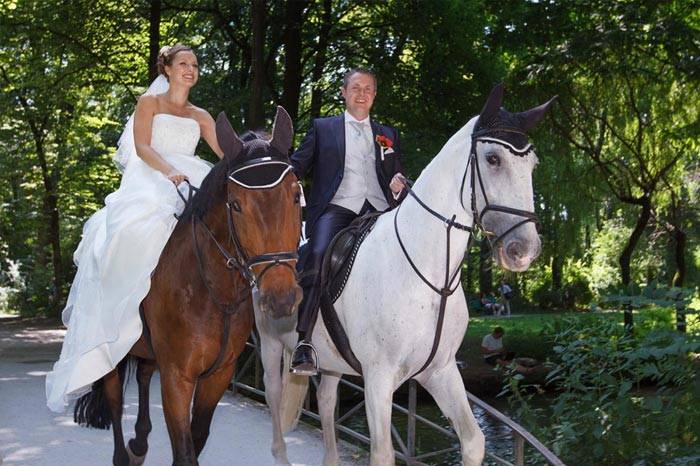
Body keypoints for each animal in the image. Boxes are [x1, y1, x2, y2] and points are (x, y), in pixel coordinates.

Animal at [74, 107, 304, 464]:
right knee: (113, 398)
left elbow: (197, 437)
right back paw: (124, 454)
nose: (281, 297)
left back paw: (140, 441)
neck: (212, 288)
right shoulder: (177, 377)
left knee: (143, 375)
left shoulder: (218, 375)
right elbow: (184, 450)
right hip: (107, 349)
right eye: (236, 204)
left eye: (295, 195)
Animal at [254, 84, 556, 466]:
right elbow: (383, 452)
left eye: (532, 164)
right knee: (273, 395)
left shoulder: (441, 370)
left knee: (325, 400)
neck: (431, 278)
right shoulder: (379, 378)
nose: (524, 249)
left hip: (332, 360)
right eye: (492, 159)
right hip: (270, 342)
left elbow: (473, 440)